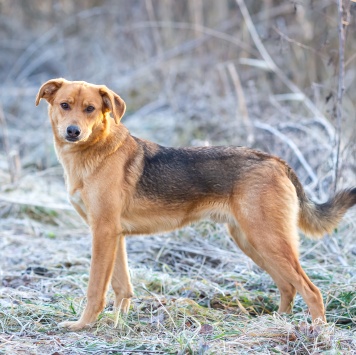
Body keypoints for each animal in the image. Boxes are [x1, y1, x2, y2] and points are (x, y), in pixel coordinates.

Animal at [35, 79, 356, 332]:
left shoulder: (103, 232)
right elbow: (122, 286)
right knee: (288, 286)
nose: (73, 131)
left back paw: (317, 333)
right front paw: (118, 325)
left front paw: (83, 325)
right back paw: (276, 323)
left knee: (311, 291)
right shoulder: (114, 235)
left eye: (90, 109)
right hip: (251, 241)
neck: (93, 152)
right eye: (65, 105)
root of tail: (275, 161)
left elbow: (95, 290)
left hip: (268, 240)